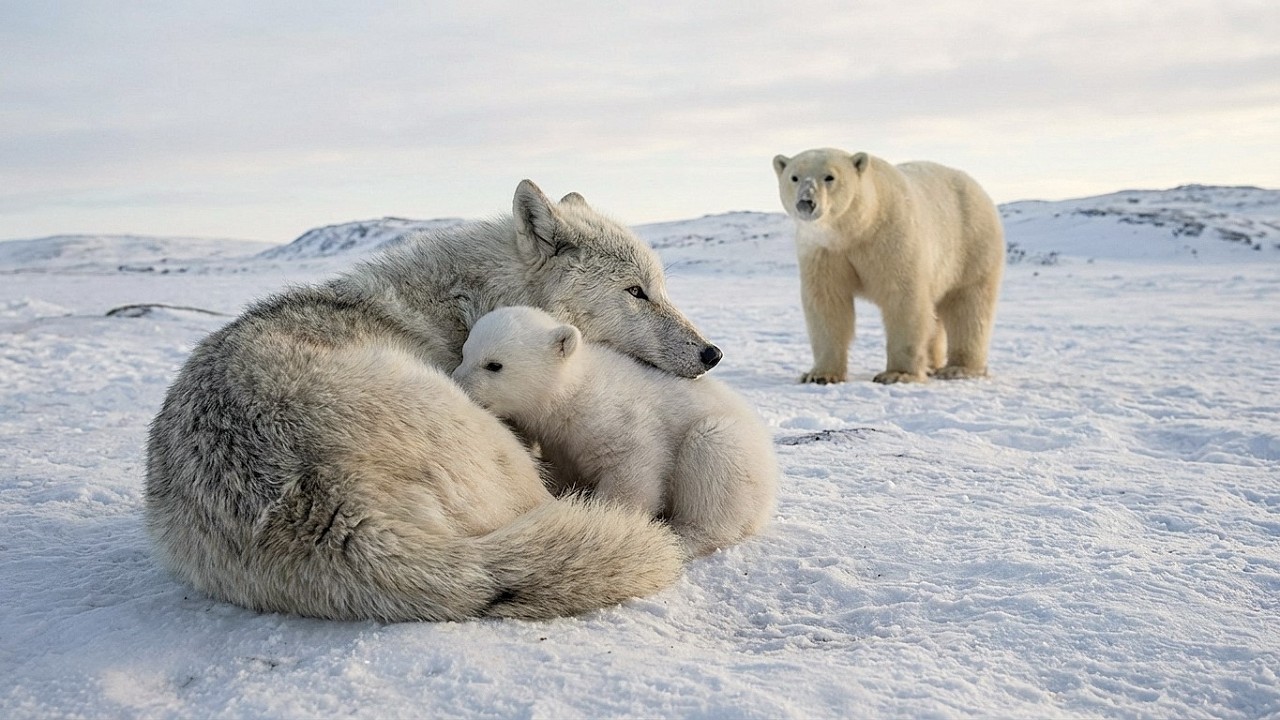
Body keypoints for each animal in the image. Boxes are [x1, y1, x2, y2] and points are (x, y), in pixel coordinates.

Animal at [452, 306, 778, 558]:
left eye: (494, 365)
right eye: (465, 353)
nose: (457, 383)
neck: (572, 392)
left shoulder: (615, 417)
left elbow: (632, 470)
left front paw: (608, 524)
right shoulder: (560, 442)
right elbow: (563, 470)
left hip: (731, 448)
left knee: (713, 464)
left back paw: (685, 536)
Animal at [772, 148, 1005, 384]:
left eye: (830, 177)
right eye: (794, 177)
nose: (806, 202)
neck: (857, 229)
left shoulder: (891, 238)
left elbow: (903, 298)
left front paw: (897, 374)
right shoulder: (824, 252)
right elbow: (828, 303)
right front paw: (820, 375)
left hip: (972, 244)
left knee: (968, 305)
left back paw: (958, 368)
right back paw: (932, 365)